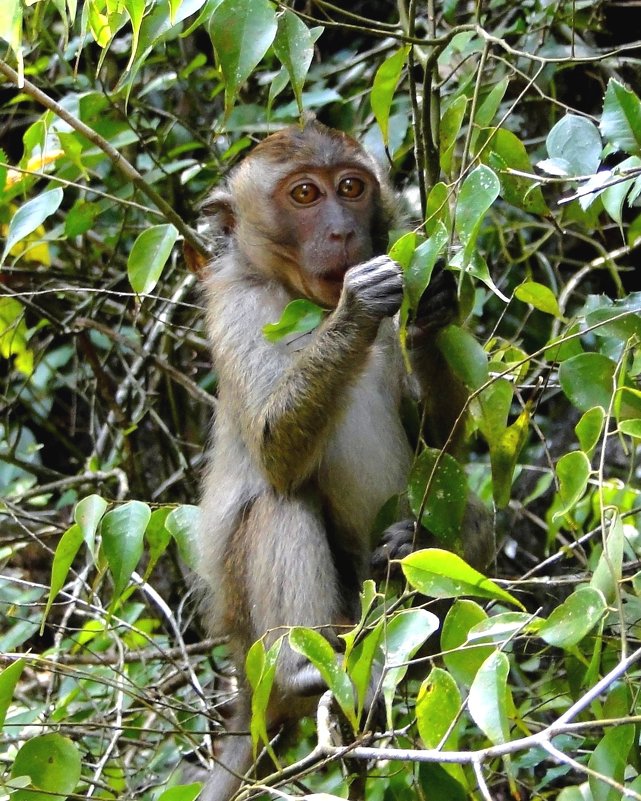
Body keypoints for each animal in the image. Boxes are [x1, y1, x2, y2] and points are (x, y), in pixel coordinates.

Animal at [192, 120, 492, 800]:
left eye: (351, 188)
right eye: (305, 194)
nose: (342, 232)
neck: (307, 300)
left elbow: (440, 444)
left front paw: (430, 312)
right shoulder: (236, 307)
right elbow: (274, 449)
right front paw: (358, 308)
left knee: (467, 521)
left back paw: (408, 553)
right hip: (259, 630)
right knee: (280, 502)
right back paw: (300, 673)